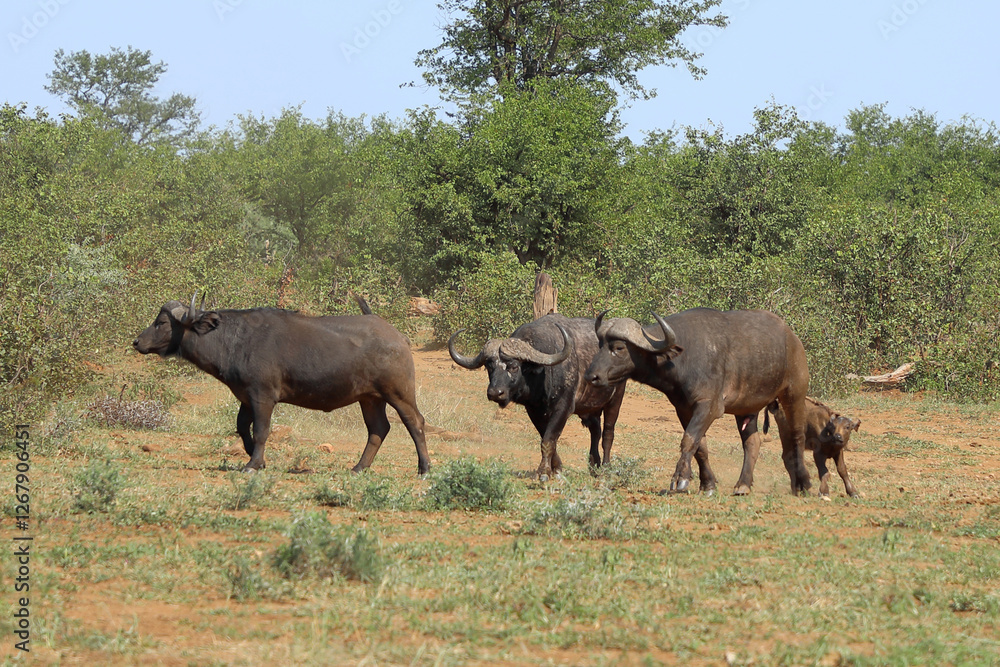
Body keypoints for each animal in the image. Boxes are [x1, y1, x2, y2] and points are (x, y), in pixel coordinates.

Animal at [133, 295, 430, 474]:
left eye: (161, 322)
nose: (137, 342)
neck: (235, 340)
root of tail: (397, 337)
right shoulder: (246, 397)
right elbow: (242, 427)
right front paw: (255, 457)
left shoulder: (262, 396)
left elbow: (262, 430)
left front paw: (253, 464)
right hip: (369, 398)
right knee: (378, 429)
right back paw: (359, 467)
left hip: (398, 393)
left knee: (415, 423)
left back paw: (424, 468)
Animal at [449, 314, 627, 480]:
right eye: (489, 366)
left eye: (514, 366)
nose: (495, 393)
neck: (544, 374)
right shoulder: (534, 410)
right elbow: (545, 438)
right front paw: (556, 468)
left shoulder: (563, 408)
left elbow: (549, 439)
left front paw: (543, 472)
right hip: (589, 409)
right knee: (595, 431)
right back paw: (594, 465)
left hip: (615, 401)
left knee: (607, 434)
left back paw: (605, 468)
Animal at [585, 308, 811, 495]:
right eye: (600, 345)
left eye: (619, 347)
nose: (591, 376)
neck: (682, 359)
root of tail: (793, 339)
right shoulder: (684, 409)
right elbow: (700, 446)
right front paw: (707, 484)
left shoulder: (708, 406)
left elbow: (688, 440)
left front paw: (680, 479)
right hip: (747, 408)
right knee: (752, 442)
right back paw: (743, 484)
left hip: (794, 395)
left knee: (797, 435)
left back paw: (804, 483)